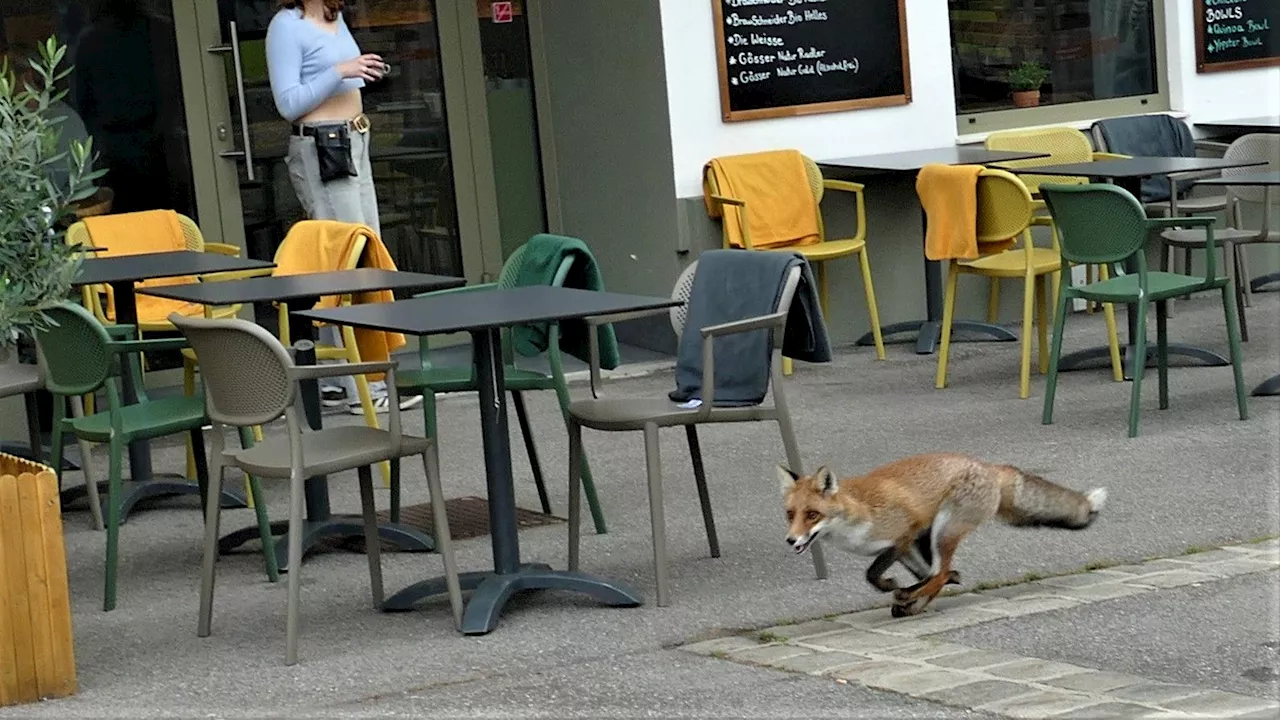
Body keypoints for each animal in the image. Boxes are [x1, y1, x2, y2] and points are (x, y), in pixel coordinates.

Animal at [773, 450, 1105, 614]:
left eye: (812, 515)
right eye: (790, 515)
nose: (791, 540)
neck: (857, 514)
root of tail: (990, 466)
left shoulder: (904, 536)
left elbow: (872, 574)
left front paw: (891, 585)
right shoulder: (905, 547)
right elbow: (915, 575)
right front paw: (905, 591)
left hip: (944, 530)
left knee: (939, 572)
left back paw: (911, 597)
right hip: (932, 537)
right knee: (936, 574)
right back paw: (916, 598)